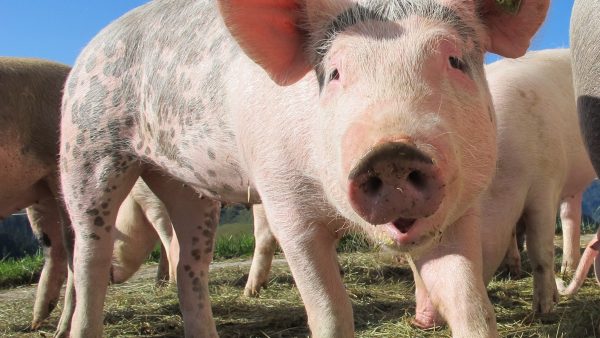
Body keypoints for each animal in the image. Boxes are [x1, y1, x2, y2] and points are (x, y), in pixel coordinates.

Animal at [59, 1, 548, 336]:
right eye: (334, 73)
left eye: (454, 60)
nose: (392, 153)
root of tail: (90, 48)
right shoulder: (285, 206)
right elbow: (330, 313)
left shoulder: (461, 211)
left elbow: (472, 307)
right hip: (88, 147)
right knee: (88, 258)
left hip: (186, 186)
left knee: (190, 266)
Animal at [414, 48, 596, 328]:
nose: (419, 320)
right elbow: (512, 235)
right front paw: (514, 270)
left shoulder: (546, 184)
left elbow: (540, 249)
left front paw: (543, 311)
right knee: (570, 215)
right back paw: (566, 270)